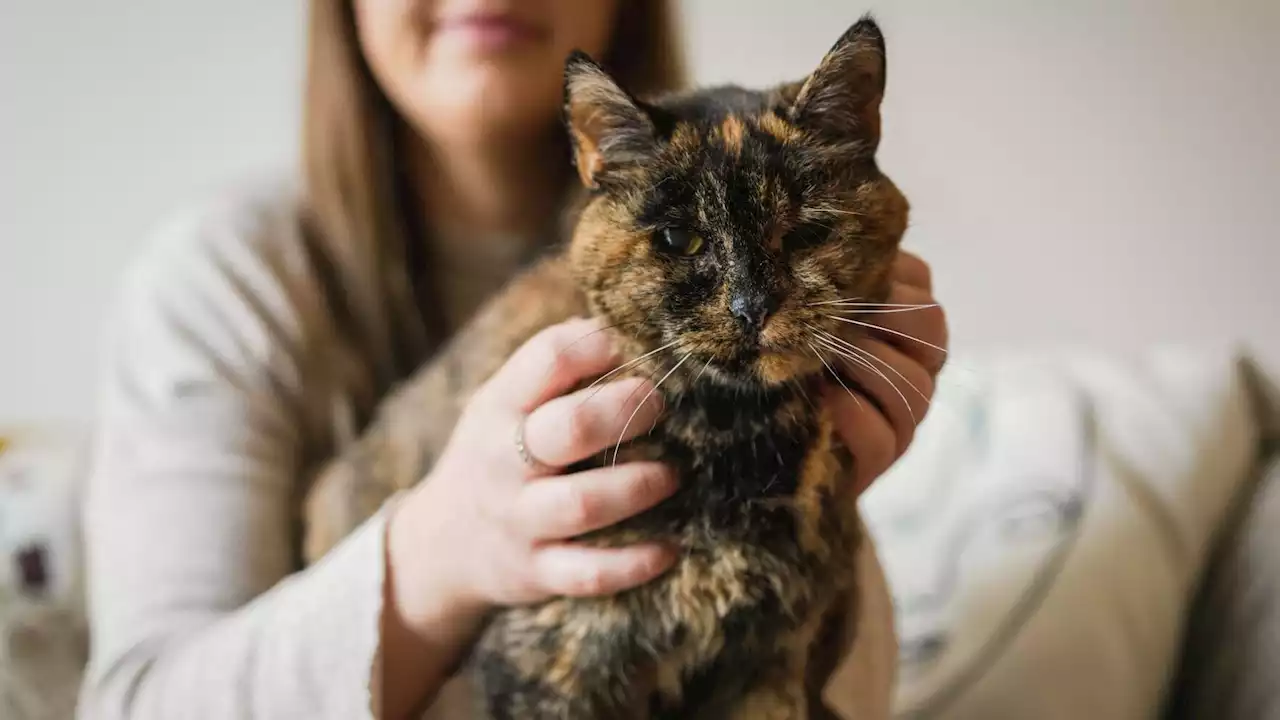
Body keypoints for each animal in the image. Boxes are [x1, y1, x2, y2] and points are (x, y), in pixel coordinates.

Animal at [307, 16, 911, 717]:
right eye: (681, 239)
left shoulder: (770, 665)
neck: (736, 440)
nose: (751, 306)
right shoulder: (552, 662)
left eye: (806, 233)